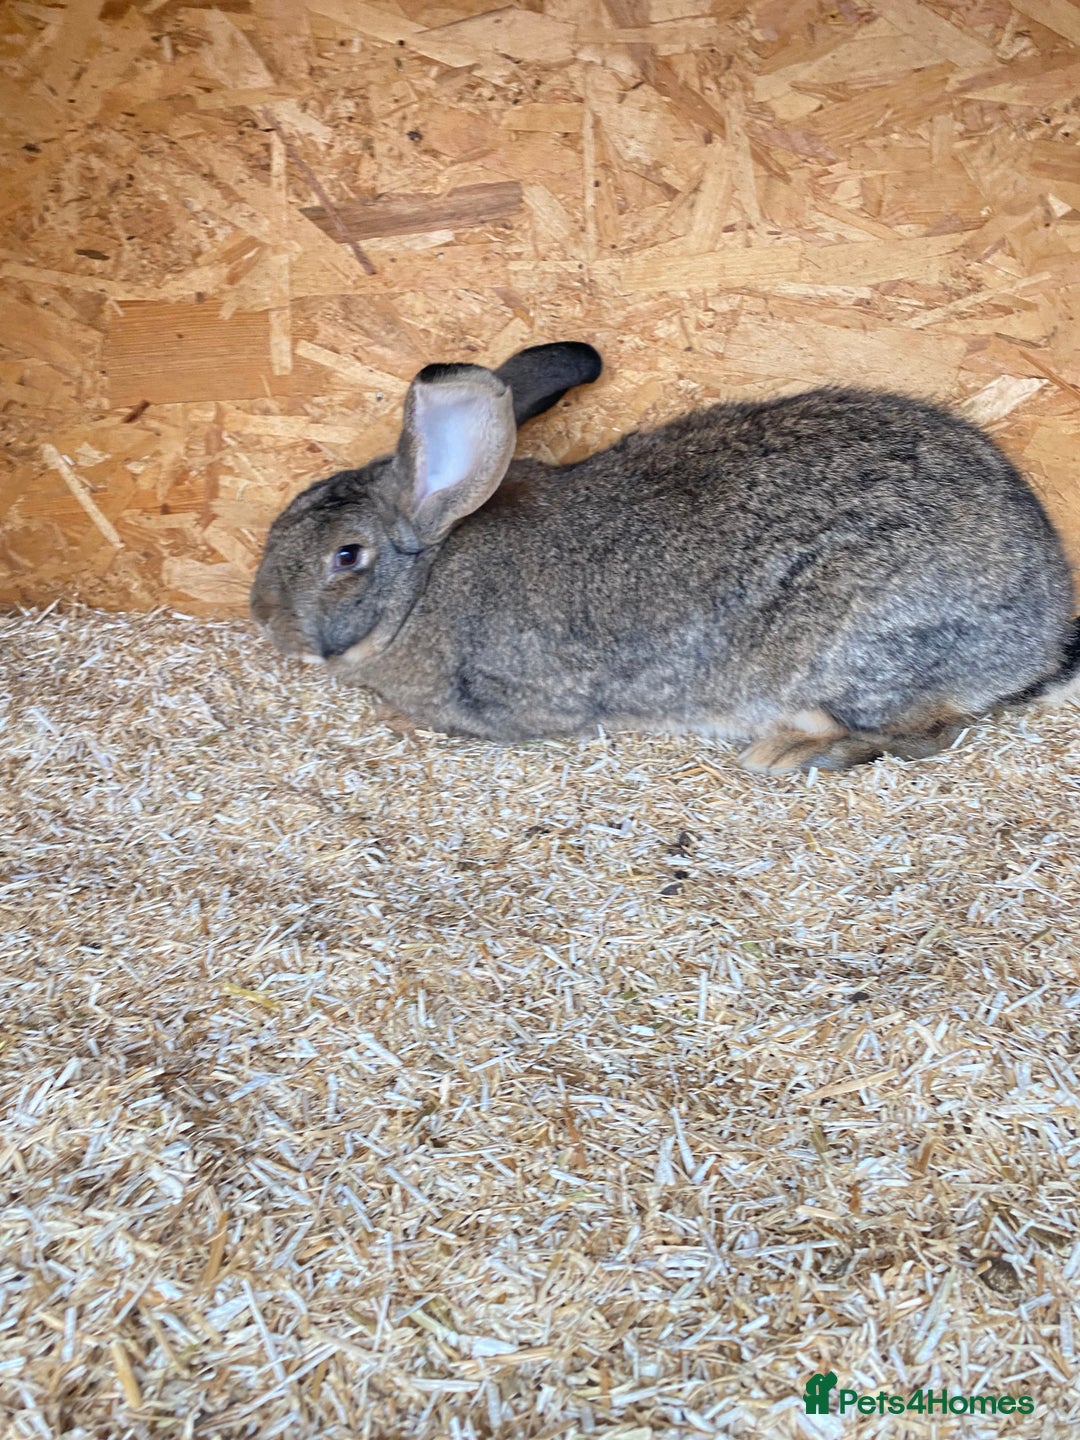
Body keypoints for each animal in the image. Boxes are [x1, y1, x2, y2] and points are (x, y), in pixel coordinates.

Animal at [250, 341, 1080, 771]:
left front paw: (395, 720)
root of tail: (1039, 639)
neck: (425, 580)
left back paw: (788, 754)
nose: (262, 616)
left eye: (346, 555)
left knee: (925, 733)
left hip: (862, 652)